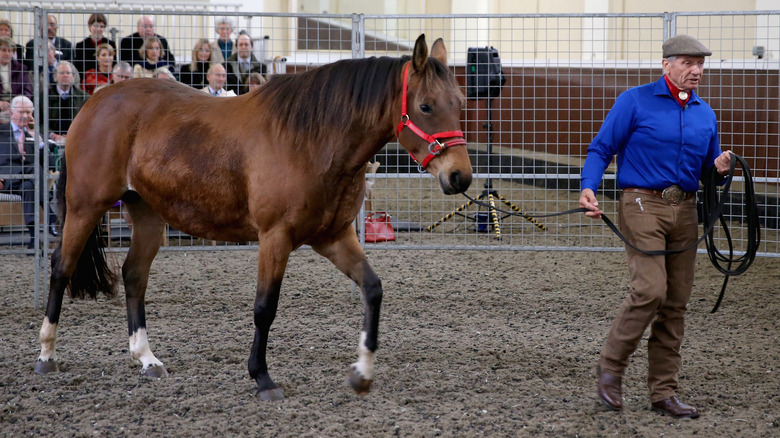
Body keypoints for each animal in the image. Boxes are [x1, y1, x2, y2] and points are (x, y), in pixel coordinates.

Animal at [33, 34, 472, 400]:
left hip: (147, 214)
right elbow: (265, 307)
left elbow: (373, 289)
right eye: (425, 106)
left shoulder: (334, 237)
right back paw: (46, 355)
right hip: (85, 207)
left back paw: (146, 358)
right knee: (61, 267)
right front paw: (262, 377)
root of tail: (95, 103)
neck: (312, 139)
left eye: (460, 103)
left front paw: (361, 374)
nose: (460, 176)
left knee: (134, 275)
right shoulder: (275, 237)